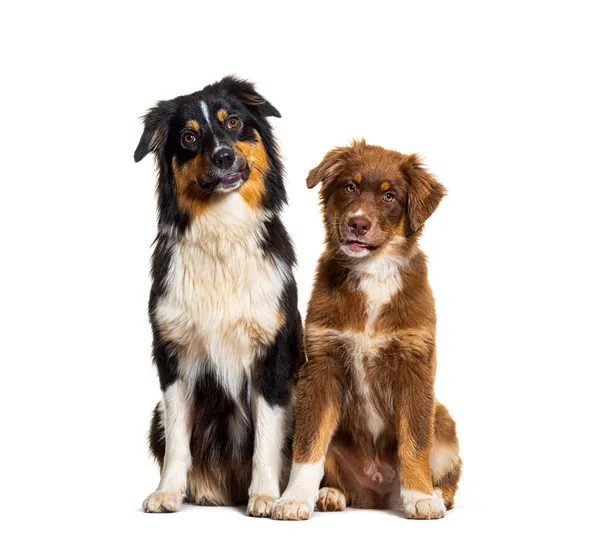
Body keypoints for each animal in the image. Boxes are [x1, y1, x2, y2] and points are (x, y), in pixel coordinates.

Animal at [136, 78, 304, 520]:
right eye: (189, 137)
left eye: (233, 122)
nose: (224, 156)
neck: (222, 229)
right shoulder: (173, 356)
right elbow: (179, 440)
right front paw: (167, 492)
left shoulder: (272, 356)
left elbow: (266, 438)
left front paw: (265, 496)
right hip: (154, 415)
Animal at [274, 139, 462, 520]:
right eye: (350, 187)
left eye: (390, 196)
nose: (358, 223)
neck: (373, 271)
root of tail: (375, 495)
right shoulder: (321, 365)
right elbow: (309, 441)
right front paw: (294, 499)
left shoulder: (415, 365)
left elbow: (415, 442)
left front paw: (420, 497)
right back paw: (330, 494)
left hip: (444, 423)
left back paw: (437, 493)